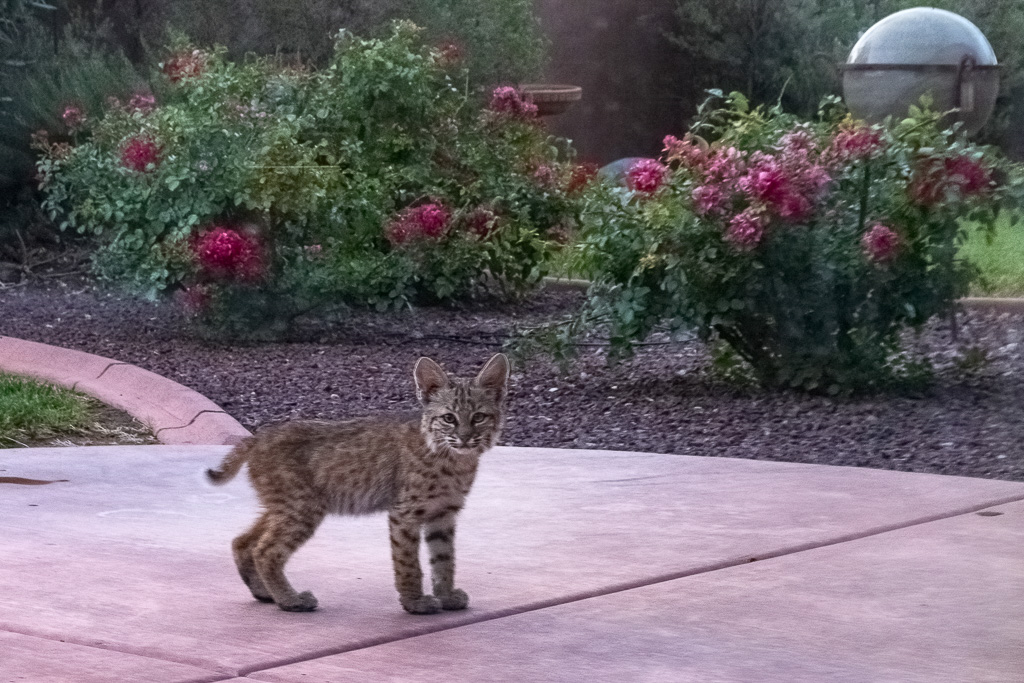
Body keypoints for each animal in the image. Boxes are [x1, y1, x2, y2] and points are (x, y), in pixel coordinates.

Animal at [205, 352, 509, 614]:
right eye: (449, 418)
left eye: (478, 417)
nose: (466, 438)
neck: (455, 459)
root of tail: (260, 436)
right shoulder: (405, 512)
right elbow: (408, 561)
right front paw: (415, 603)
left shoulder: (444, 513)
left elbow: (444, 560)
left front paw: (445, 596)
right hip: (302, 507)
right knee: (266, 550)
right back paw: (290, 600)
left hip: (284, 505)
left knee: (243, 541)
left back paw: (264, 592)